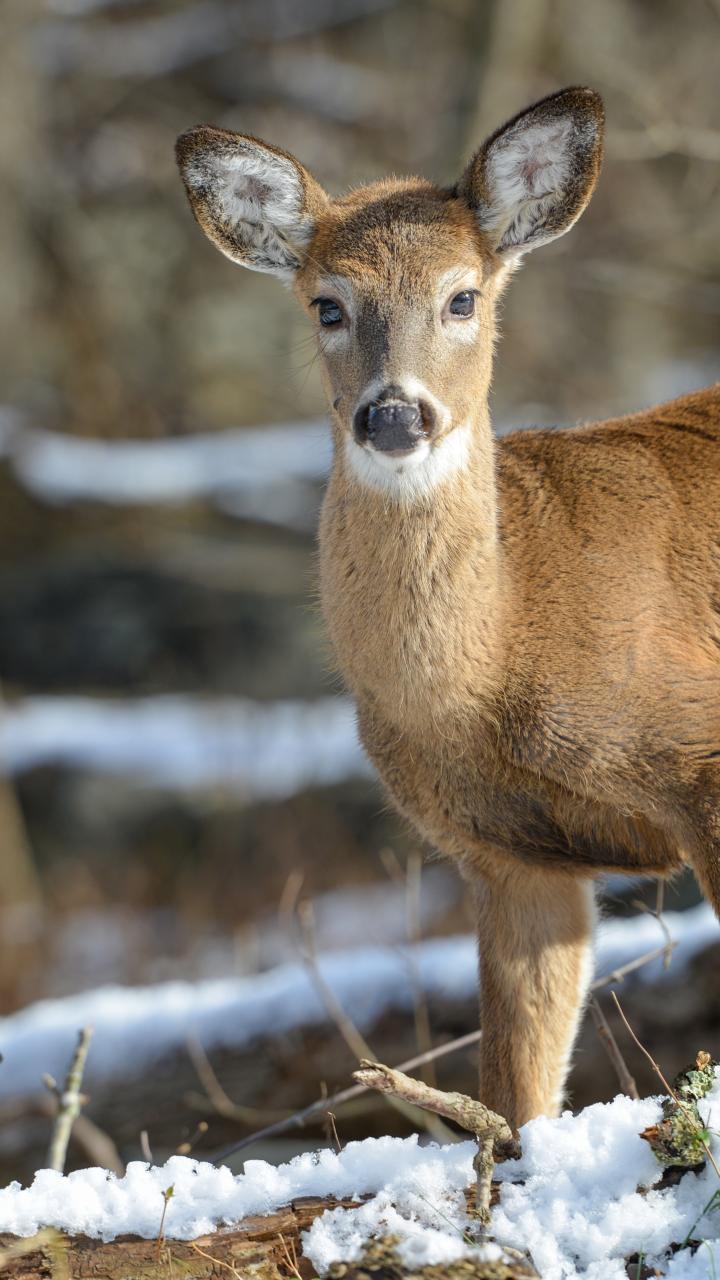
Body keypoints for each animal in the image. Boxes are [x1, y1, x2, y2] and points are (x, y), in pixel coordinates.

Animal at [176, 87, 720, 1131]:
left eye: (463, 296)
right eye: (329, 304)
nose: (394, 416)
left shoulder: (704, 755)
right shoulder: (511, 859)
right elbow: (516, 1093)